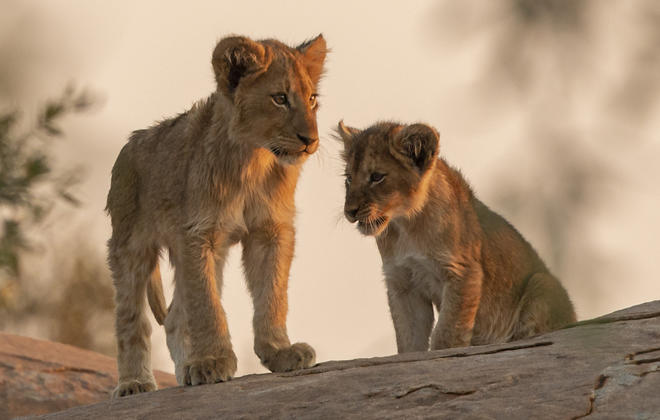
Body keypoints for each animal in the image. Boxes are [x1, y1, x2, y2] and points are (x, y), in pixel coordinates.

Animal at [106, 34, 327, 397]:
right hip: (129, 245)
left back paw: (184, 369)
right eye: (280, 98)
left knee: (176, 317)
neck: (254, 160)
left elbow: (273, 294)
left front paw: (280, 352)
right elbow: (208, 307)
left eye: (312, 99)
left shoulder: (271, 231)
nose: (311, 140)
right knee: (131, 317)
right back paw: (135, 382)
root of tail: (130, 144)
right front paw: (213, 362)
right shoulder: (198, 235)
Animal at [337, 121, 576, 352]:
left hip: (542, 283)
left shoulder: (463, 272)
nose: (350, 211)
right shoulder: (403, 282)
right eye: (348, 179)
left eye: (377, 177)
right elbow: (409, 339)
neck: (404, 226)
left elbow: (448, 333)